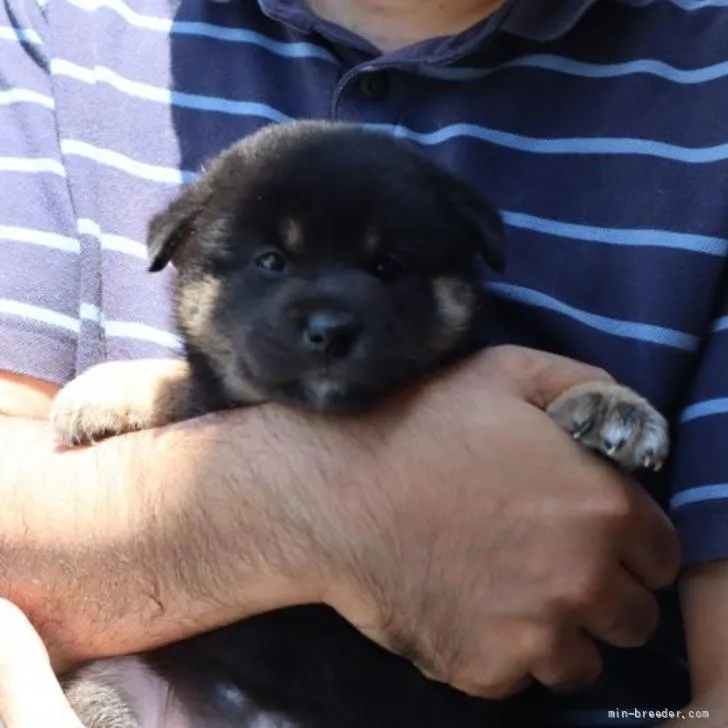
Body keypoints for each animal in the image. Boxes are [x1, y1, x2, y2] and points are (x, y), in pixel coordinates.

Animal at [48, 121, 668, 728]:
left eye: (387, 266)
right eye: (271, 261)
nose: (331, 329)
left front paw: (614, 404)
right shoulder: (216, 397)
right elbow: (179, 381)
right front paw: (102, 392)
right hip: (112, 684)